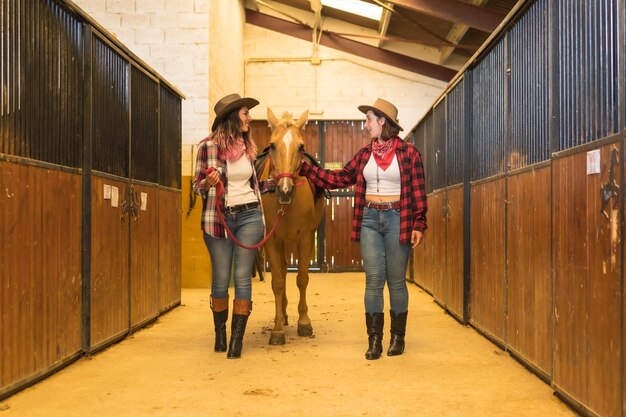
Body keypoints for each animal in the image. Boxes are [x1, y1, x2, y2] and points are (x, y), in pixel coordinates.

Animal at [256, 107, 324, 344]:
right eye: (272, 145)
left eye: (301, 147)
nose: (285, 191)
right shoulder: (271, 240)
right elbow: (277, 282)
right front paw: (277, 329)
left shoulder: (305, 237)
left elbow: (302, 279)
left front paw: (304, 322)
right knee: (283, 271)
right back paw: (283, 316)